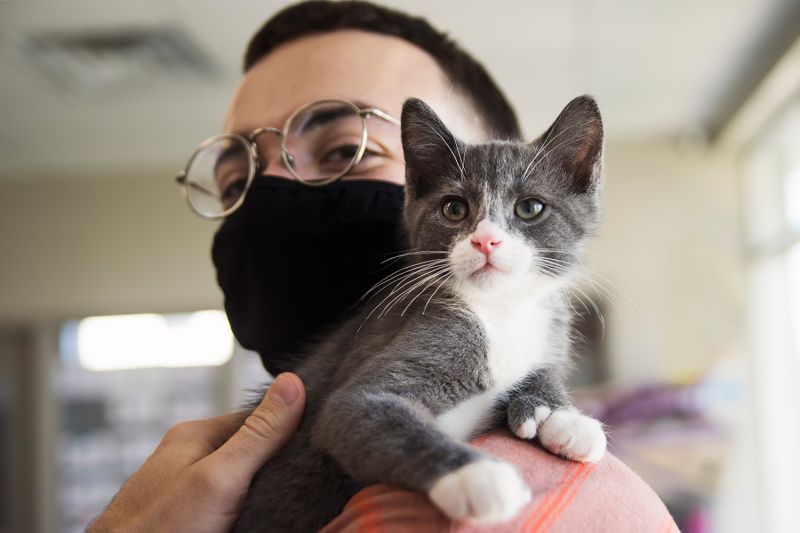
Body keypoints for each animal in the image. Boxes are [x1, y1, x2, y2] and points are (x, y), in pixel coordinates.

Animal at [234, 93, 608, 528]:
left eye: (530, 208)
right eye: (454, 209)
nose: (486, 241)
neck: (498, 311)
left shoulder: (550, 327)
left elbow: (545, 367)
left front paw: (561, 416)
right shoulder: (379, 372)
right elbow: (369, 413)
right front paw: (477, 476)